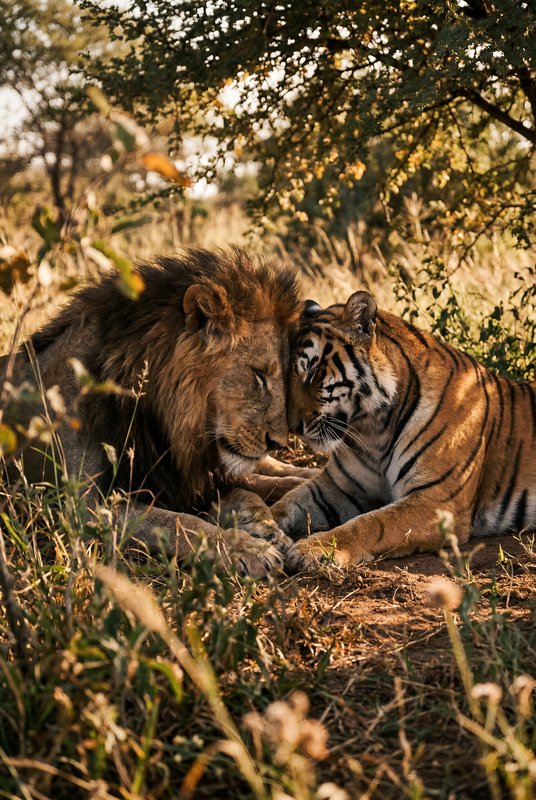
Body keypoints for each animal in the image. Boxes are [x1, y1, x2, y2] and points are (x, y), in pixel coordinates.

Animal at [1, 248, 314, 577]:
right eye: (259, 375)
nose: (278, 442)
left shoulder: (189, 478)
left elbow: (247, 491)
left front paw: (266, 528)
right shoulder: (87, 507)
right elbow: (181, 523)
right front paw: (250, 548)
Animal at [271, 291, 536, 569]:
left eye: (313, 372)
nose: (293, 427)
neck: (372, 430)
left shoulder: (438, 501)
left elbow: (371, 523)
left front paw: (311, 549)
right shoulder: (339, 485)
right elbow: (288, 500)